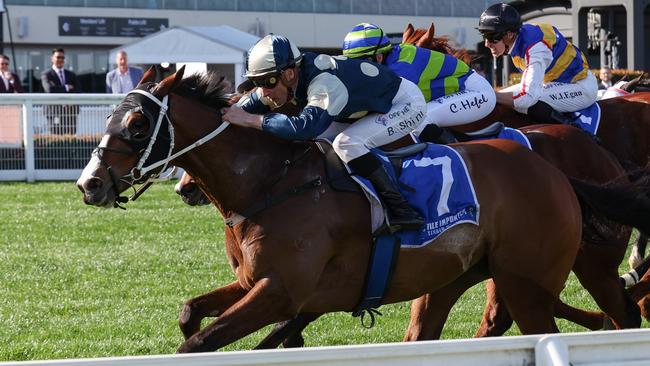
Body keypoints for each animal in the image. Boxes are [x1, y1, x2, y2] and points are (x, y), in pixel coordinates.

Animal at [76, 68, 592, 352]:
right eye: (109, 116)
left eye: (138, 123)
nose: (89, 184)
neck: (269, 184)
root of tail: (551, 171)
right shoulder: (255, 283)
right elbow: (190, 313)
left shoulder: (281, 291)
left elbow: (200, 341)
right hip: (451, 279)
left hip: (527, 285)